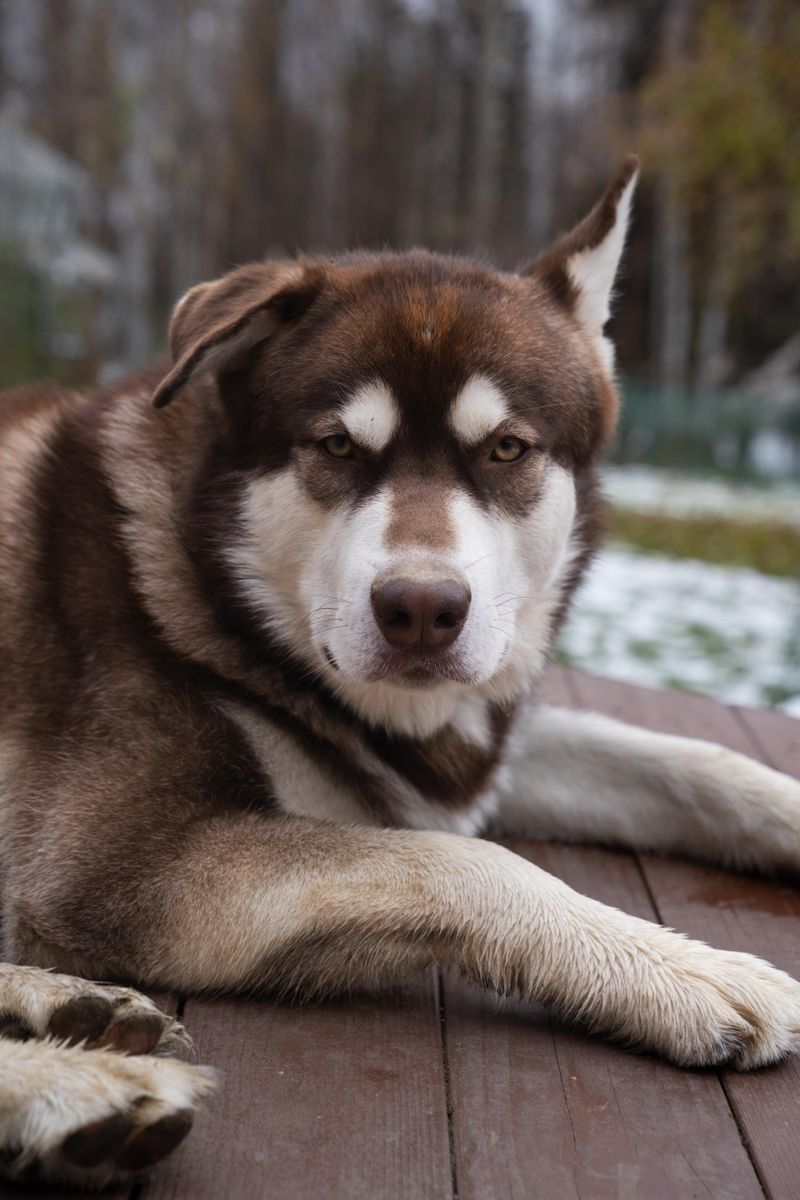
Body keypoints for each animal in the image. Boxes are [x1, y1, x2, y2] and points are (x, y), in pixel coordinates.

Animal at [1, 157, 800, 1180]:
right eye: (338, 446)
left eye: (507, 448)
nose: (421, 609)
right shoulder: (121, 863)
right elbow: (465, 863)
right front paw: (684, 969)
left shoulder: (463, 751)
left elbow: (700, 764)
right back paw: (76, 1088)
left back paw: (72, 1012)